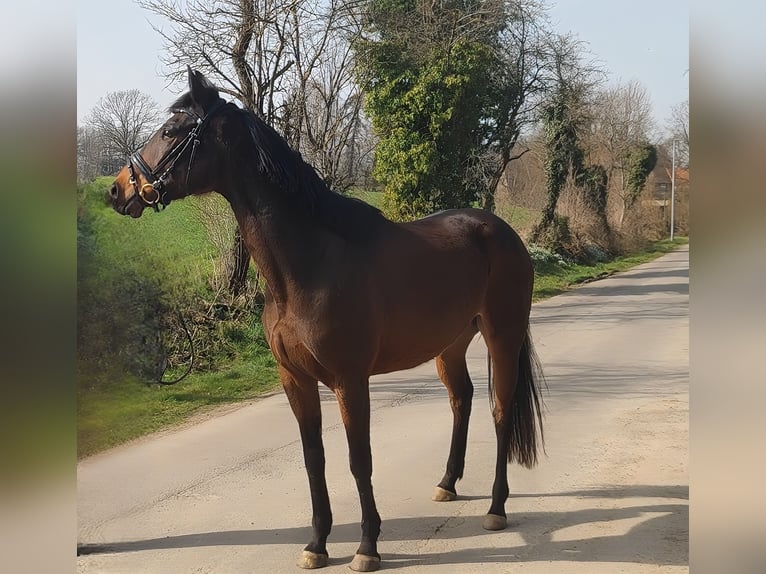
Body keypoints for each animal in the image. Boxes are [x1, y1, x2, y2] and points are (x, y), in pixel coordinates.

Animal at [109, 67, 545, 572]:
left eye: (172, 131)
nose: (117, 189)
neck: (307, 265)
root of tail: (503, 231)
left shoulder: (349, 381)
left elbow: (359, 459)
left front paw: (367, 547)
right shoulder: (295, 379)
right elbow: (313, 459)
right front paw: (317, 544)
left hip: (502, 337)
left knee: (499, 411)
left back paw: (496, 507)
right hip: (449, 345)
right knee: (462, 400)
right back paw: (447, 484)